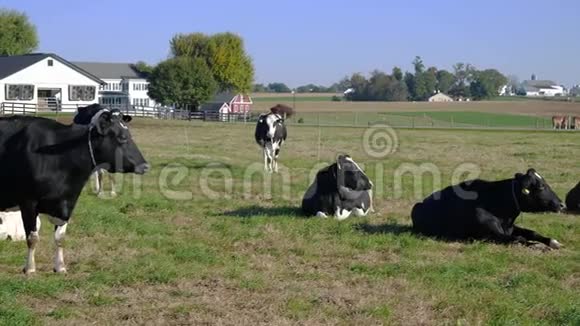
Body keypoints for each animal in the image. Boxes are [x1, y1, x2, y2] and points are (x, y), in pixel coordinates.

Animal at [412, 169, 568, 248]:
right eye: (541, 186)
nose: (562, 205)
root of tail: (422, 202)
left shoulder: (510, 227)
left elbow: (532, 233)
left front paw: (553, 242)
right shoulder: (493, 234)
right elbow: (520, 239)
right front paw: (538, 246)